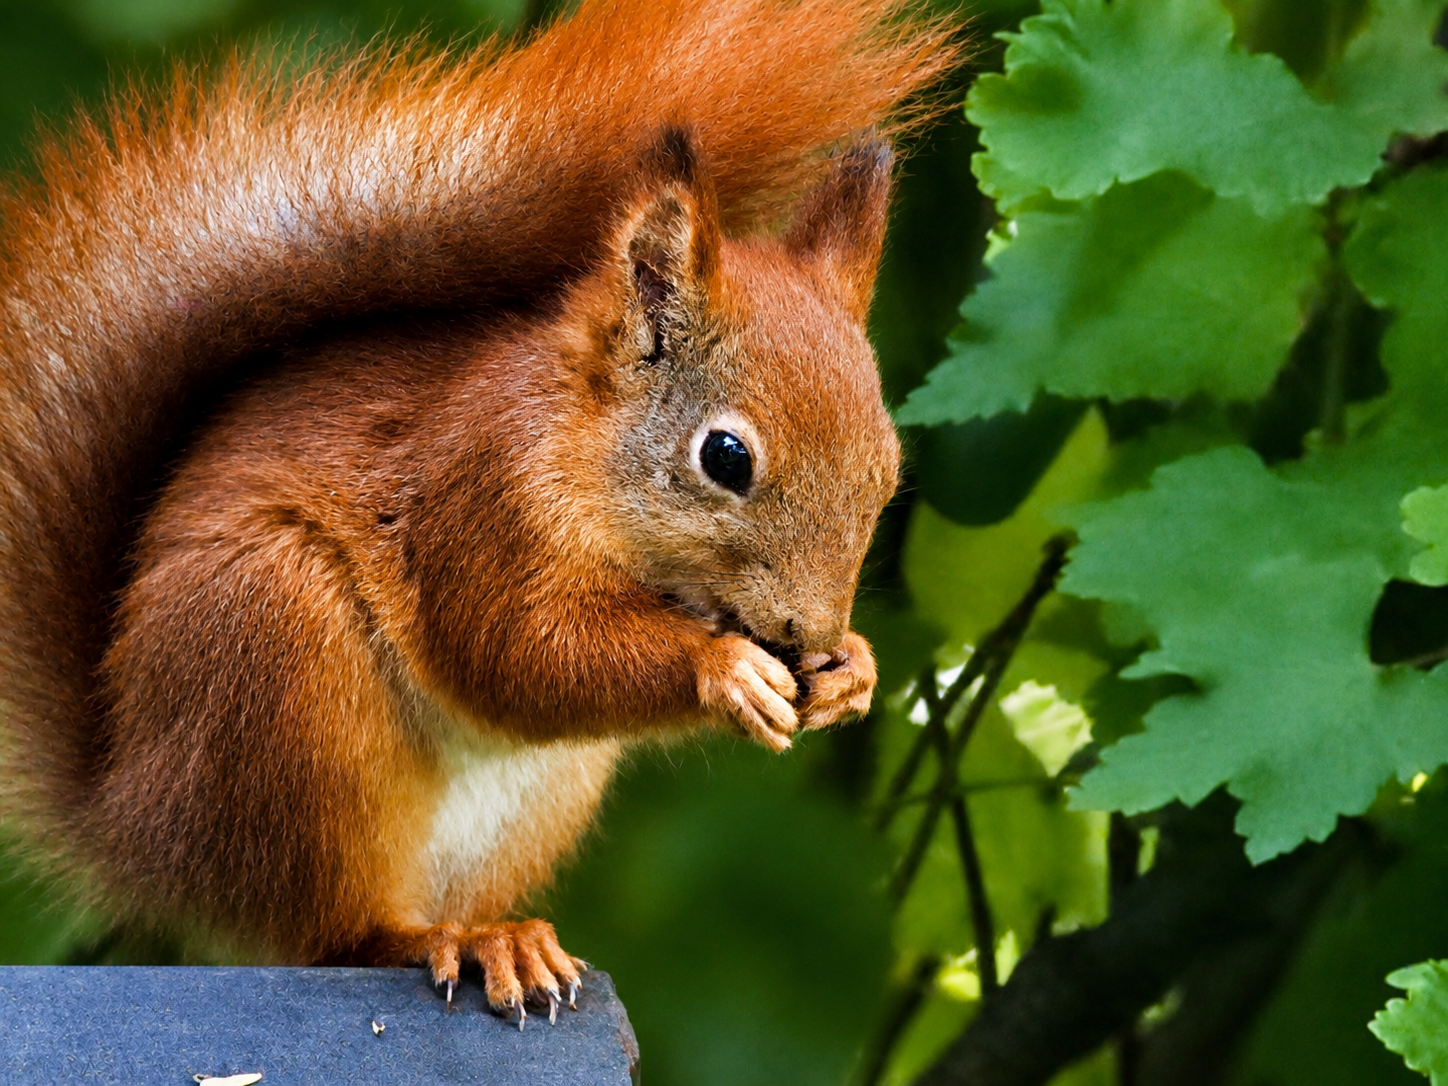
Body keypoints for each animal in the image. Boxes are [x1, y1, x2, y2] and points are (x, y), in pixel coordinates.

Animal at [0, 0, 956, 1023]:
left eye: (888, 470)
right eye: (725, 457)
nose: (808, 635)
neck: (590, 459)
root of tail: (138, 824)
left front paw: (853, 671)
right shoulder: (480, 500)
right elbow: (516, 651)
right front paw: (726, 669)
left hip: (536, 796)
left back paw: (505, 938)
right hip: (280, 676)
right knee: (334, 935)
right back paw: (430, 940)